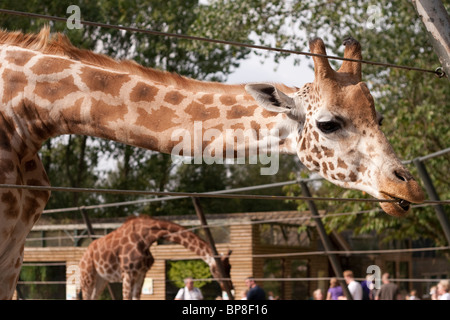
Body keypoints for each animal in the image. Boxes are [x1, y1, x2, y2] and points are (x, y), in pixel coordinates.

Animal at [78, 215, 232, 300]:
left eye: (230, 267)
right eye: (218, 269)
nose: (229, 286)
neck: (146, 238)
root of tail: (83, 256)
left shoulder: (141, 273)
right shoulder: (127, 273)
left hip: (102, 279)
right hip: (88, 276)